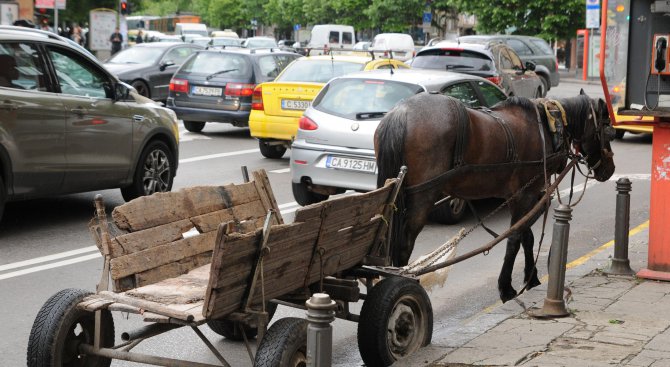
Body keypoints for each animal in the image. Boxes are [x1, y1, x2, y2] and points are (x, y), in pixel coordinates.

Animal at [376, 90, 616, 304]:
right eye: (606, 128)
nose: (610, 169)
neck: (549, 126)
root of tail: (402, 112)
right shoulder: (527, 194)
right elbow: (515, 238)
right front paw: (507, 287)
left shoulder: (517, 196)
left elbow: (526, 236)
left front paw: (531, 278)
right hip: (422, 198)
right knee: (404, 245)